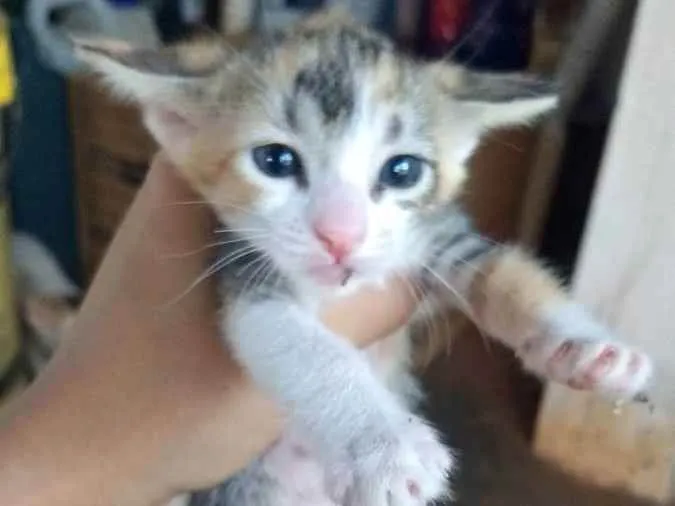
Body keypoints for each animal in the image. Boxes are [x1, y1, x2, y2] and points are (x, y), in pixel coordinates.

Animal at [73, 9, 653, 506]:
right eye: (275, 160)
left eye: (402, 171)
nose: (340, 236)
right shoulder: (241, 266)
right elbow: (300, 345)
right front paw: (386, 448)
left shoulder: (434, 234)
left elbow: (507, 273)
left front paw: (589, 348)